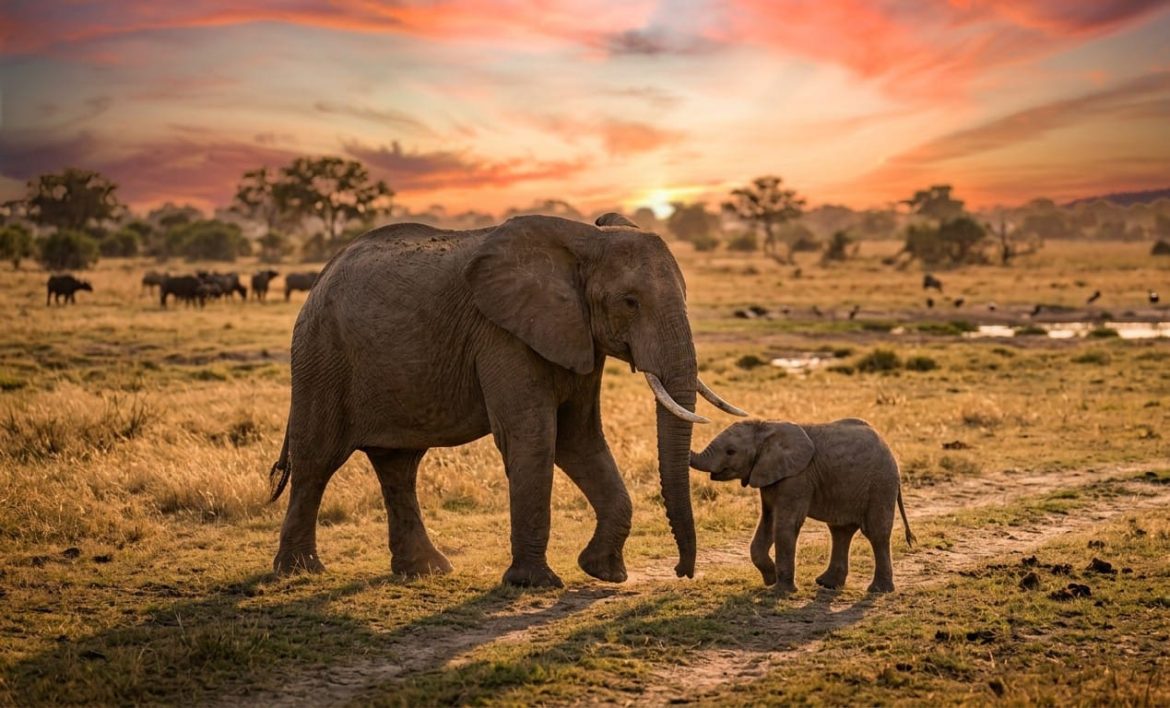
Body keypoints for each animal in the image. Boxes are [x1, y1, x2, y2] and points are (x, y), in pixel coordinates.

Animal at [268, 213, 747, 587]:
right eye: (630, 302)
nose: (682, 571)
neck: (583, 243)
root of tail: (322, 275)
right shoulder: (502, 333)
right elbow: (533, 435)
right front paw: (535, 583)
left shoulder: (577, 336)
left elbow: (579, 438)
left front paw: (604, 573)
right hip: (321, 354)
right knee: (317, 461)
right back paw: (301, 572)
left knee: (398, 467)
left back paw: (427, 571)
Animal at [690, 418, 914, 593]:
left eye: (731, 451)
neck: (766, 426)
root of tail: (889, 449)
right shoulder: (770, 474)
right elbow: (768, 522)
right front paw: (770, 579)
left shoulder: (797, 477)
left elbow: (785, 525)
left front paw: (780, 591)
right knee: (840, 531)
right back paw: (827, 584)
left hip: (881, 483)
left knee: (876, 533)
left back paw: (878, 590)